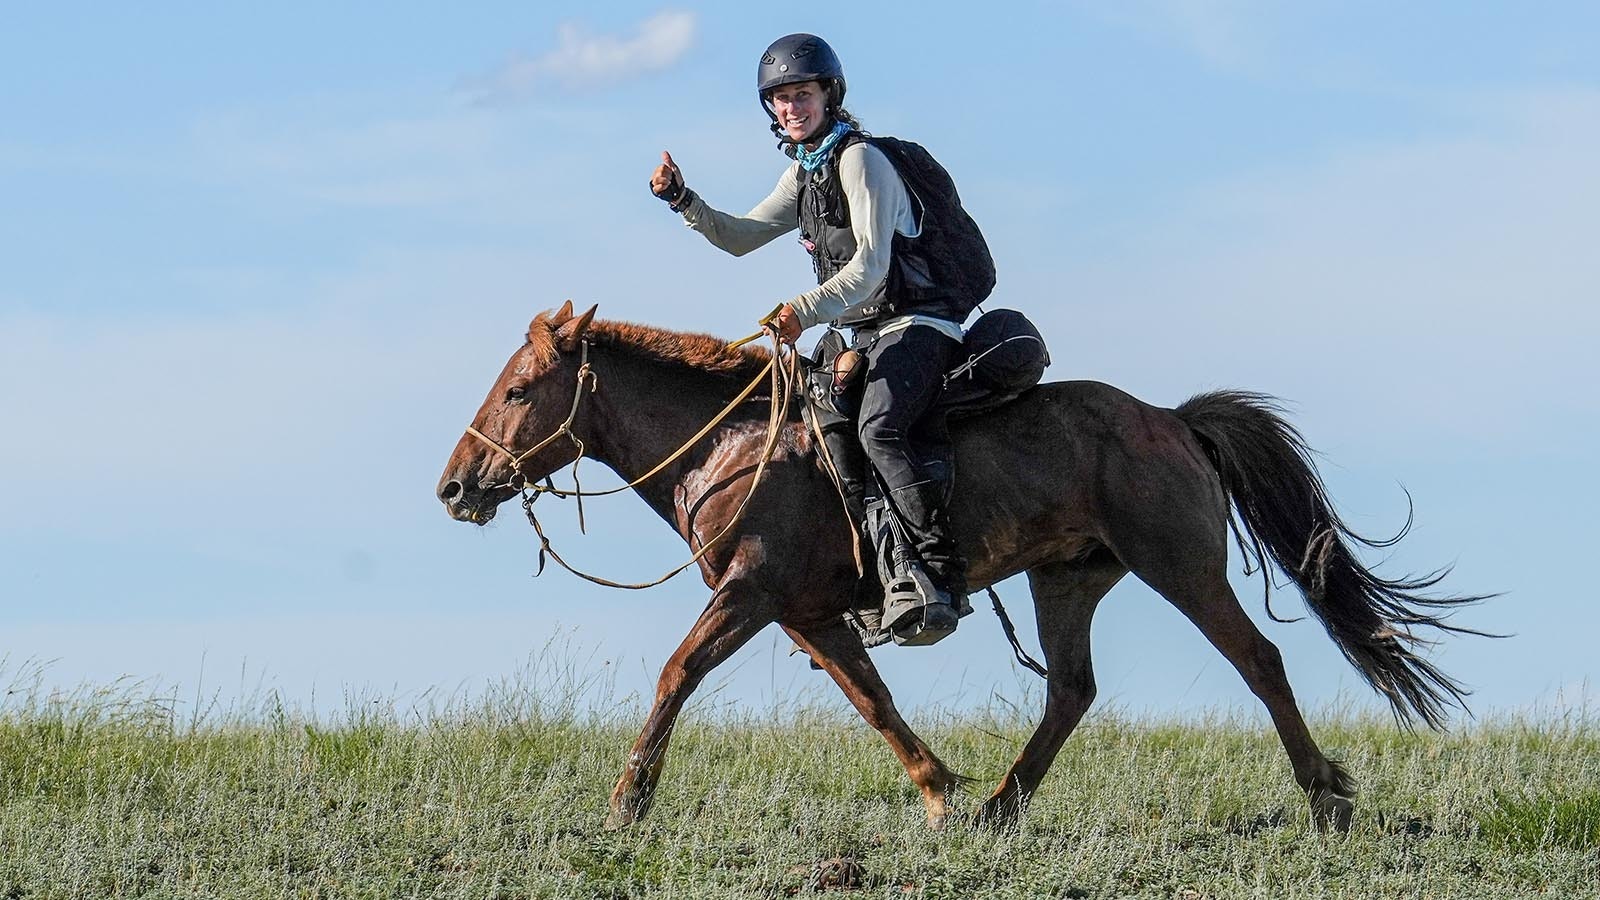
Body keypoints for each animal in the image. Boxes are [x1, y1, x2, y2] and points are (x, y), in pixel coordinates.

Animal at [438, 301, 1484, 826]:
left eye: (521, 390)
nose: (456, 486)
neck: (734, 446)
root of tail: (1174, 421)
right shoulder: (809, 614)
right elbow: (871, 699)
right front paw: (940, 793)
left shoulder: (751, 594)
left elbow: (676, 672)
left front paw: (628, 802)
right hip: (1068, 578)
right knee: (1071, 690)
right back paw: (996, 807)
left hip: (1181, 569)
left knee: (1258, 662)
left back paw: (1327, 797)